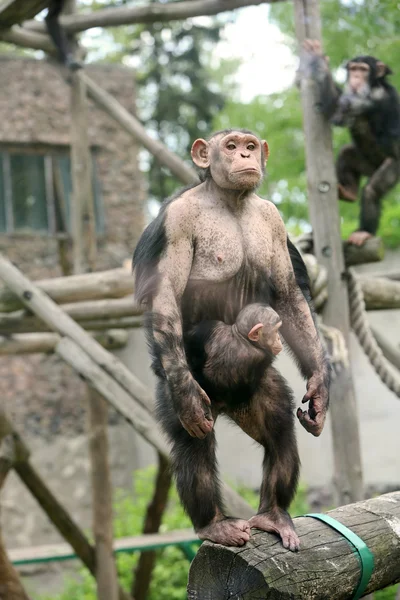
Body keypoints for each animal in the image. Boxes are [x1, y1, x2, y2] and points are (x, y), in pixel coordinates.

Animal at [133, 129, 330, 552]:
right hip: (189, 399)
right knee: (193, 447)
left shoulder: (274, 220)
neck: (231, 201)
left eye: (251, 145)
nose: (243, 155)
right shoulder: (176, 220)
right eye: (230, 145)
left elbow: (289, 291)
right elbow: (166, 294)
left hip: (256, 397)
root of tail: (226, 406)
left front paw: (321, 390)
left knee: (278, 431)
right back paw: (214, 524)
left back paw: (274, 514)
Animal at [304, 40, 400, 246]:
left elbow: (343, 110)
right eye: (353, 68)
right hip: (366, 164)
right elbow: (334, 106)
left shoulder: (374, 98)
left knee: (372, 190)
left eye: (363, 69)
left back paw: (363, 232)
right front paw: (320, 60)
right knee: (346, 153)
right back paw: (349, 192)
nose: (355, 76)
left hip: (394, 166)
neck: (373, 85)